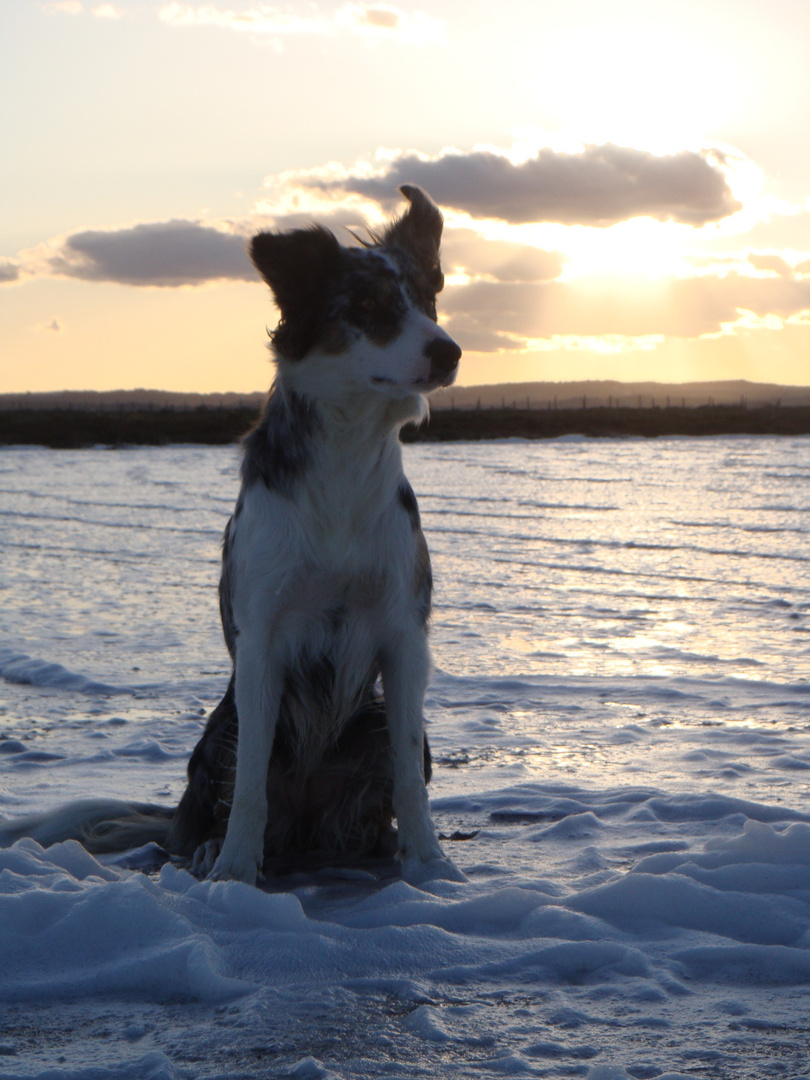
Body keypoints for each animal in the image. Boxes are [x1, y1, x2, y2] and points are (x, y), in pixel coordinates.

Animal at [0, 185, 466, 885]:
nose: (449, 350)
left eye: (429, 296)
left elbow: (410, 770)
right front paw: (236, 872)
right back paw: (206, 849)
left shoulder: (404, 632)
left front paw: (431, 865)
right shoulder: (261, 639)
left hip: (371, 719)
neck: (344, 455)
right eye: (369, 306)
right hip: (219, 729)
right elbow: (247, 778)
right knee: (216, 801)